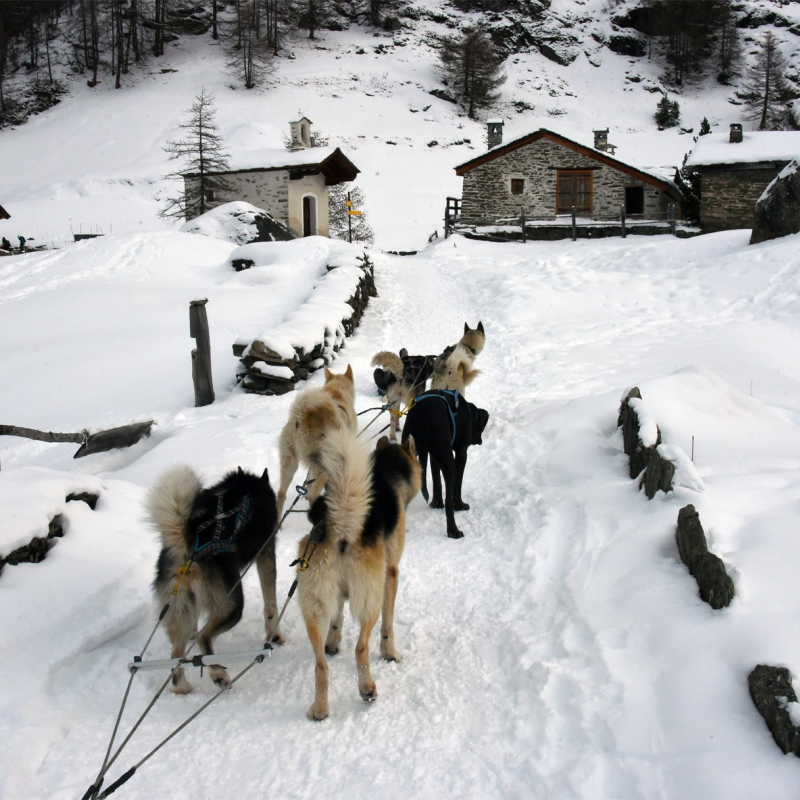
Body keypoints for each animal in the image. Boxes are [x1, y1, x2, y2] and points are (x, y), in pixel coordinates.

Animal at [147, 462, 282, 692]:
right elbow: (270, 605)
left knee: (177, 654)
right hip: (232, 605)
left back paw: (182, 687)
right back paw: (219, 674)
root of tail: (188, 544)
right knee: (204, 637)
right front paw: (276, 634)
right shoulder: (266, 552)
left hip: (180, 610)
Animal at [278, 364, 360, 516]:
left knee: (281, 493)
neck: (336, 392)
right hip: (323, 465)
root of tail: (302, 415)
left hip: (289, 463)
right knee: (312, 496)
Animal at [296, 428, 422, 720]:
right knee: (361, 647)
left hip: (314, 607)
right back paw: (367, 688)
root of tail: (342, 524)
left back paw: (320, 709)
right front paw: (390, 653)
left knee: (320, 665)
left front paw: (333, 643)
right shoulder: (391, 574)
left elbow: (337, 619)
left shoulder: (339, 594)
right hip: (370, 601)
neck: (387, 471)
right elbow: (388, 626)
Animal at [400, 390, 488, 536]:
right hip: (449, 461)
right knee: (449, 500)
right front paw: (460, 505)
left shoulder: (433, 456)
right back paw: (453, 530)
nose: (480, 441)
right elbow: (457, 486)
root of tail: (425, 416)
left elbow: (437, 482)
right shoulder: (461, 453)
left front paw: (436, 503)